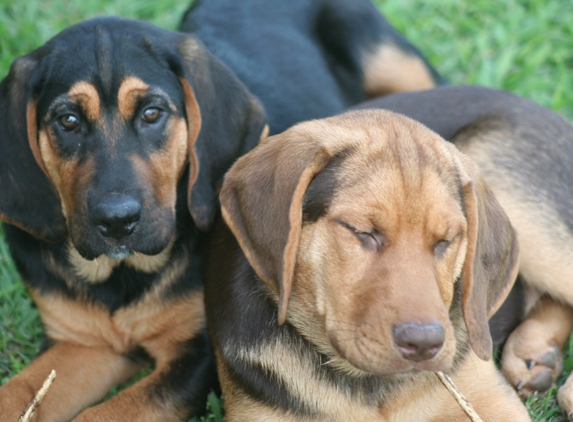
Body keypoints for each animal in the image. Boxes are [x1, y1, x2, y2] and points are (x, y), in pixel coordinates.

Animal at [0, 1, 442, 420]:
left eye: (152, 113)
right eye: (68, 120)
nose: (117, 221)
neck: (120, 276)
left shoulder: (200, 355)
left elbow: (109, 413)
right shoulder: (84, 343)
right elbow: (18, 393)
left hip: (394, 62)